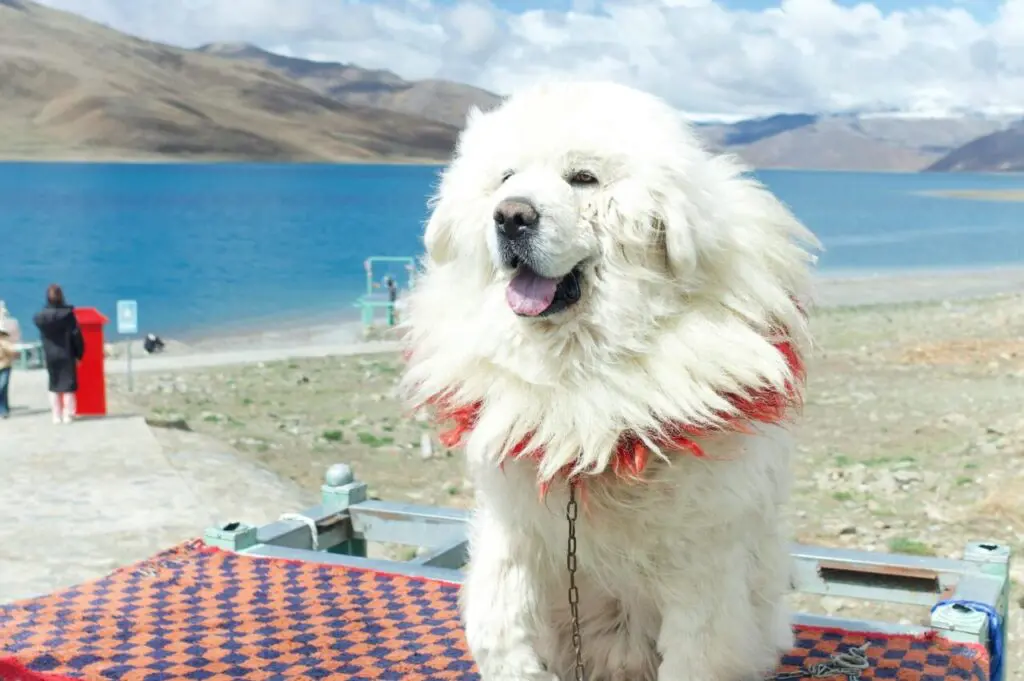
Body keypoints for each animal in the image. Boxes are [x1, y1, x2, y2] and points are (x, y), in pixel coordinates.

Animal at [397, 82, 815, 679]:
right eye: (506, 178)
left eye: (583, 178)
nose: (511, 216)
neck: (582, 369)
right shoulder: (514, 520)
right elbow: (497, 618)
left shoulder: (702, 560)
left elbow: (696, 656)